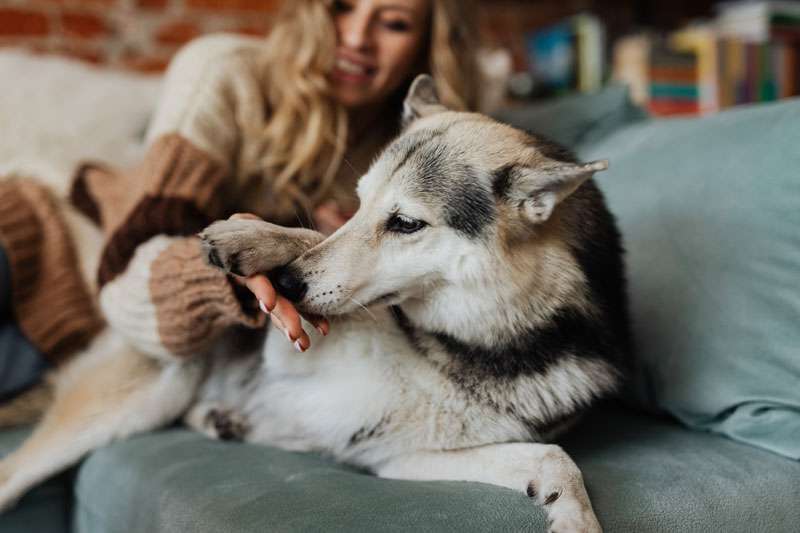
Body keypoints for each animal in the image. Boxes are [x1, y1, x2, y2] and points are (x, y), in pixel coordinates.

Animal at [0, 76, 628, 532]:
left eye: (405, 223)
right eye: (357, 204)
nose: (290, 284)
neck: (463, 343)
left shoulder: (400, 455)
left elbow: (556, 459)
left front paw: (574, 518)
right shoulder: (296, 350)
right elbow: (311, 239)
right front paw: (253, 240)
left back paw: (226, 420)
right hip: (141, 397)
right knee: (13, 471)